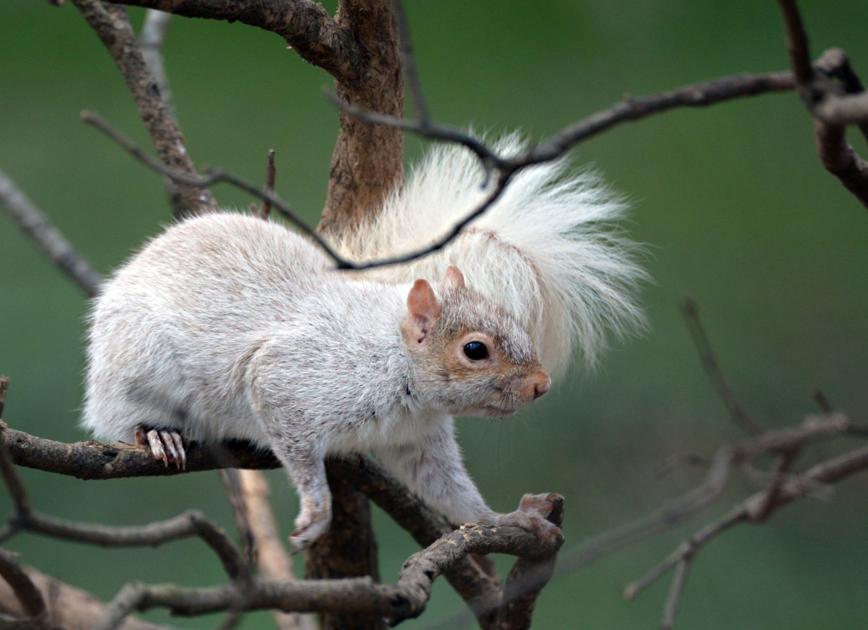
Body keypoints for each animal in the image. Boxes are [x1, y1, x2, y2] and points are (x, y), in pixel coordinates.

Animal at [83, 136, 643, 551]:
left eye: (513, 320)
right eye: (475, 350)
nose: (541, 385)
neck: (395, 366)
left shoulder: (417, 440)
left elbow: (451, 492)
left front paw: (505, 519)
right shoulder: (290, 376)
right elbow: (296, 445)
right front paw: (317, 509)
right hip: (135, 365)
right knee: (118, 417)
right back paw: (157, 432)